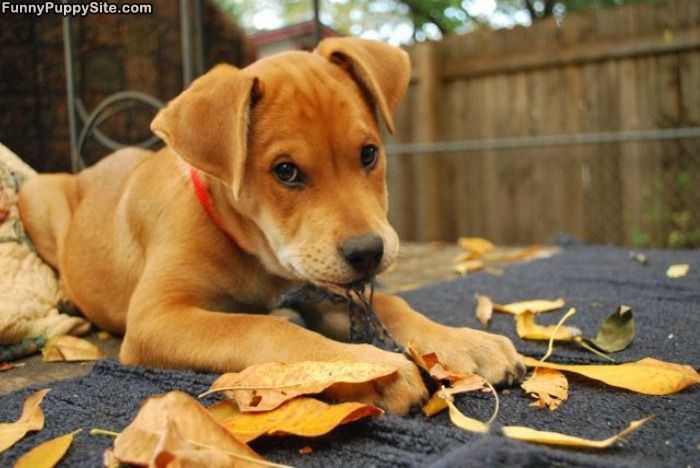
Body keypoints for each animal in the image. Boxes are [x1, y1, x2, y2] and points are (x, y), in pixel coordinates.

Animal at [17, 39, 524, 414]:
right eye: (285, 171)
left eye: (368, 153)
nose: (368, 253)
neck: (247, 246)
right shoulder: (157, 317)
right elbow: (264, 330)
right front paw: (371, 368)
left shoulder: (322, 289)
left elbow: (393, 306)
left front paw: (466, 343)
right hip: (36, 194)